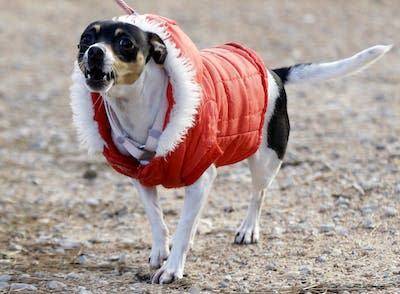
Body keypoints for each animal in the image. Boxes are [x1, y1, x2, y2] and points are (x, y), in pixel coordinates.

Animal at [70, 12, 392, 284]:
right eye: (86, 38)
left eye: (125, 42)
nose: (94, 51)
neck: (136, 108)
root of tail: (273, 73)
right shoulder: (141, 176)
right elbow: (157, 218)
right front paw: (160, 251)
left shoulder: (200, 177)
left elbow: (183, 228)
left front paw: (172, 269)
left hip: (266, 160)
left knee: (258, 195)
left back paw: (248, 229)